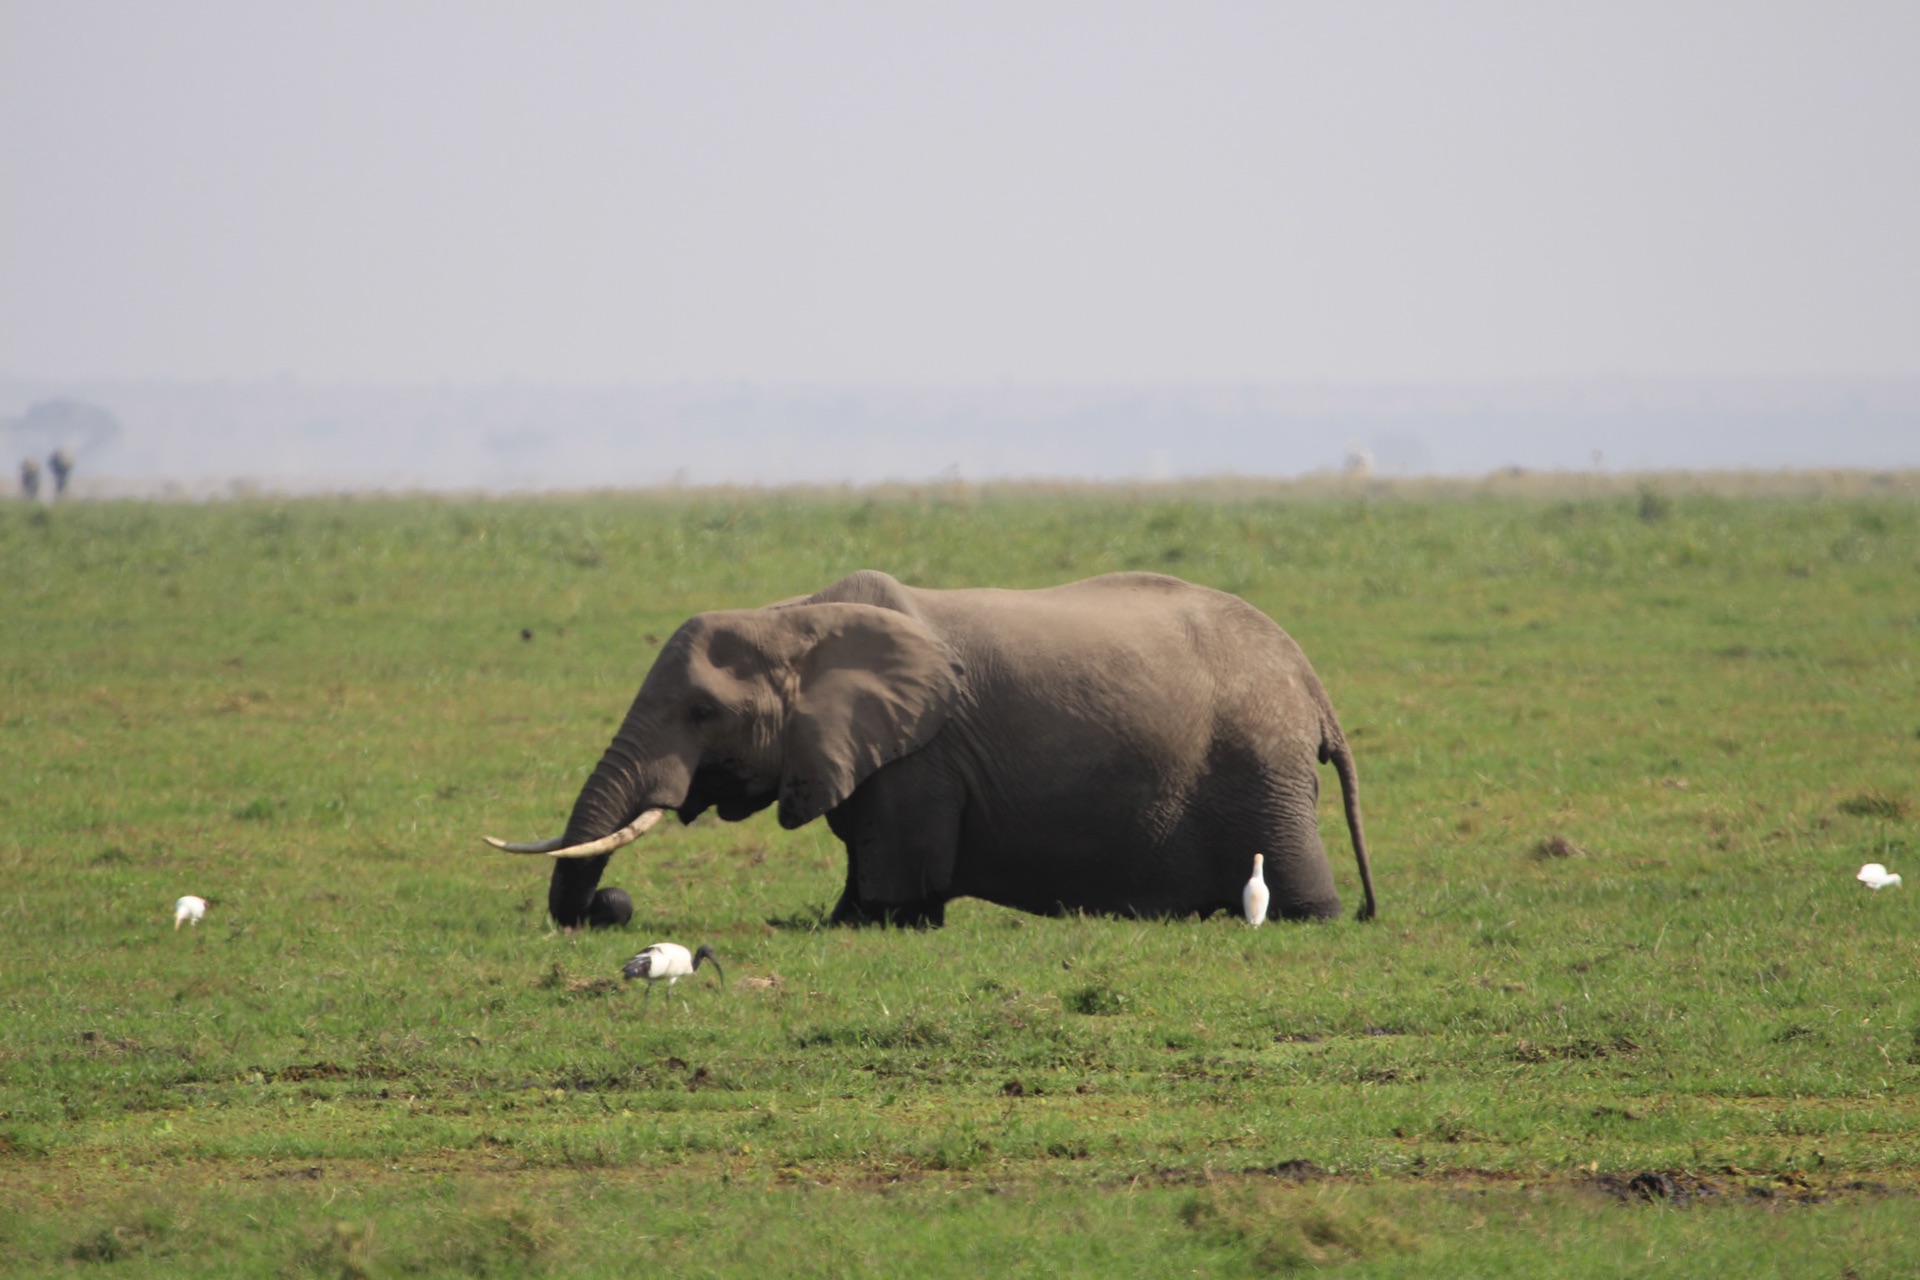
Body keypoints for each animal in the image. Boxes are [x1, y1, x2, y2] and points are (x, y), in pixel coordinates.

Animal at [487, 571, 1374, 932]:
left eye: (703, 711)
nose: (612, 907)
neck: (794, 616)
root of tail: (1311, 679)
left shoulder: (923, 758)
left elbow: (892, 886)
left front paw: (865, 923)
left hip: (1259, 769)